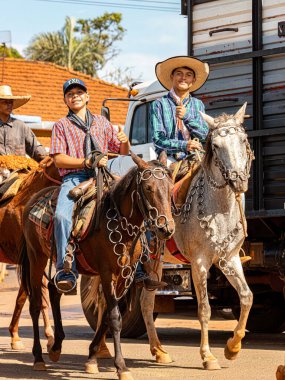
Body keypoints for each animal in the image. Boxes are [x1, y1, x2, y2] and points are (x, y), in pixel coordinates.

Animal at [19, 153, 173, 378]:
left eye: (170, 188)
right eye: (148, 188)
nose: (166, 229)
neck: (120, 224)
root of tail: (32, 200)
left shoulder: (125, 275)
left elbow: (109, 316)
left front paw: (92, 357)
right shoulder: (107, 273)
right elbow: (115, 317)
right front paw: (121, 366)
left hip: (63, 265)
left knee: (55, 290)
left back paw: (56, 347)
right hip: (36, 258)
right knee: (36, 305)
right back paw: (39, 357)